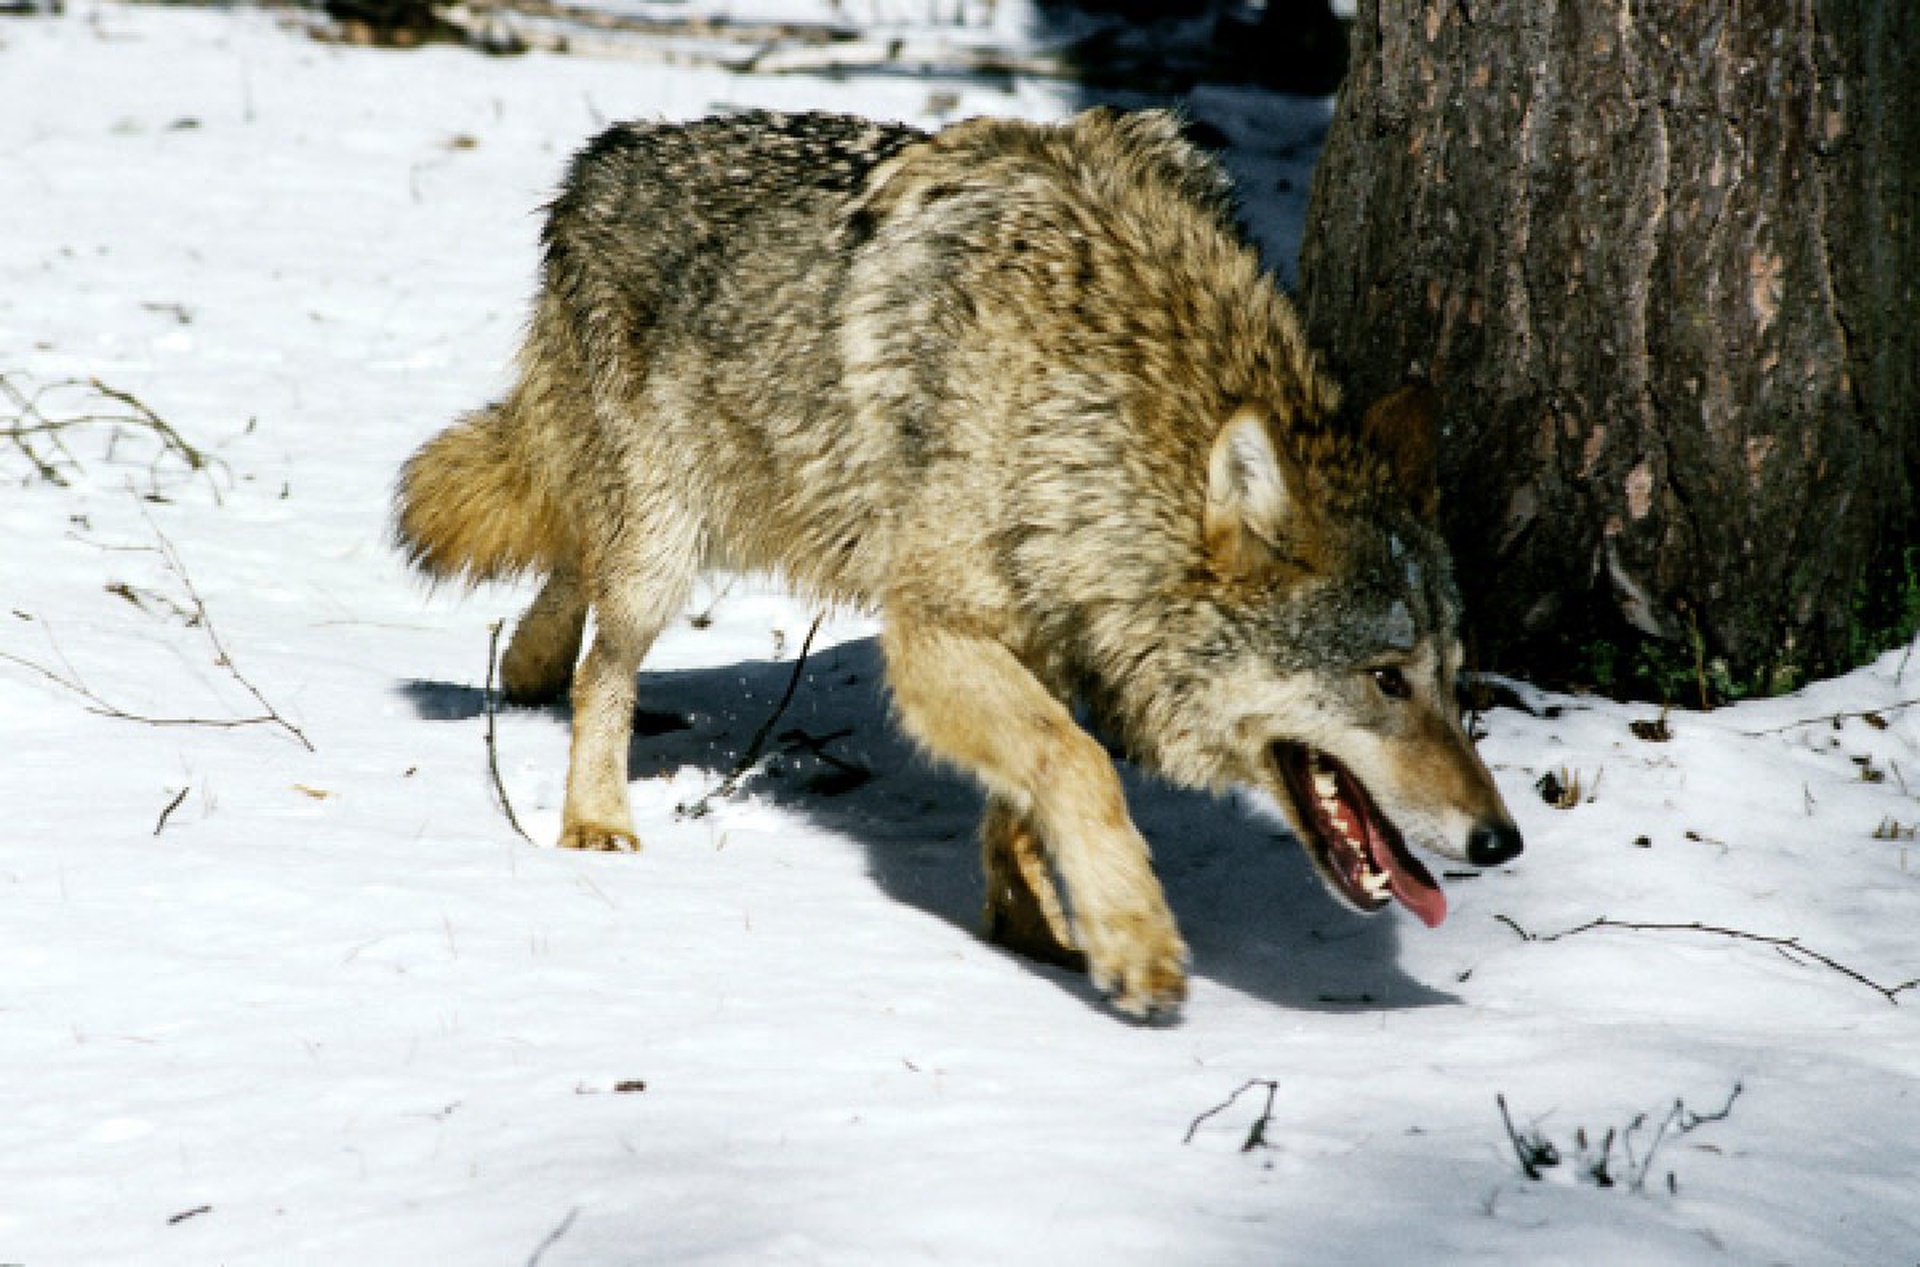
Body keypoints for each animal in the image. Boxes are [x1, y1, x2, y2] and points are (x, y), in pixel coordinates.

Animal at [393, 106, 1528, 1021]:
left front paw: (1036, 929)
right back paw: (594, 818)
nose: (1501, 843)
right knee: (606, 663)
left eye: (1452, 678)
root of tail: (598, 162)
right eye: (1385, 680)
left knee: (569, 565)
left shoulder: (1046, 634)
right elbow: (1077, 765)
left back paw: (525, 669)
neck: (1084, 398)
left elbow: (1027, 798)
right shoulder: (936, 632)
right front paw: (1137, 941)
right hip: (668, 552)